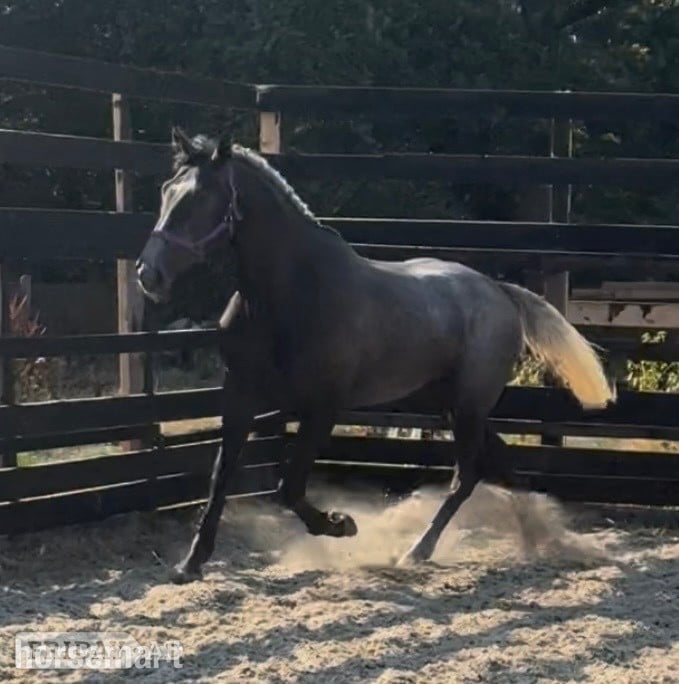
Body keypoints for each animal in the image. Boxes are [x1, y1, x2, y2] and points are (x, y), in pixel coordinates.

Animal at [136, 127, 615, 583]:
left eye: (200, 197)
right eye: (165, 191)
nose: (148, 274)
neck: (287, 297)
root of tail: (499, 291)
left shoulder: (322, 407)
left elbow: (288, 487)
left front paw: (340, 524)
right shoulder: (239, 397)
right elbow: (220, 478)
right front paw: (191, 563)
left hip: (467, 406)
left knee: (466, 477)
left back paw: (417, 551)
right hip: (446, 404)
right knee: (499, 465)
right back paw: (537, 538)